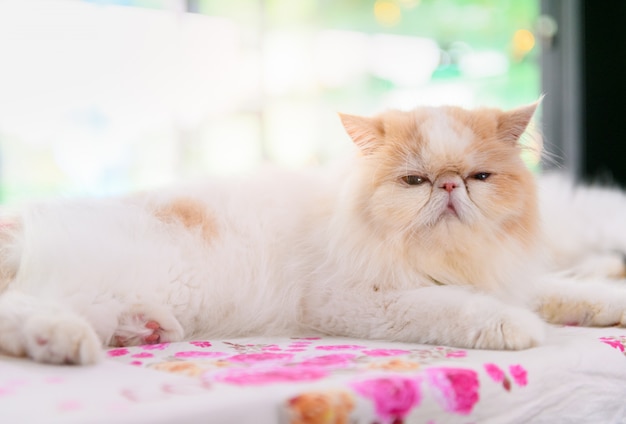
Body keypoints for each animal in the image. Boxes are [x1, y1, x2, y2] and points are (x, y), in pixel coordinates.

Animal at [1, 101, 624, 366]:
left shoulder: (507, 275)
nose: (449, 186)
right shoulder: (354, 301)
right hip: (74, 282)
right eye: (414, 181)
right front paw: (518, 329)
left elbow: (565, 290)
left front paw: (607, 303)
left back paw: (142, 331)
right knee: (21, 310)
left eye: (479, 178)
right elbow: (458, 307)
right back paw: (66, 343)